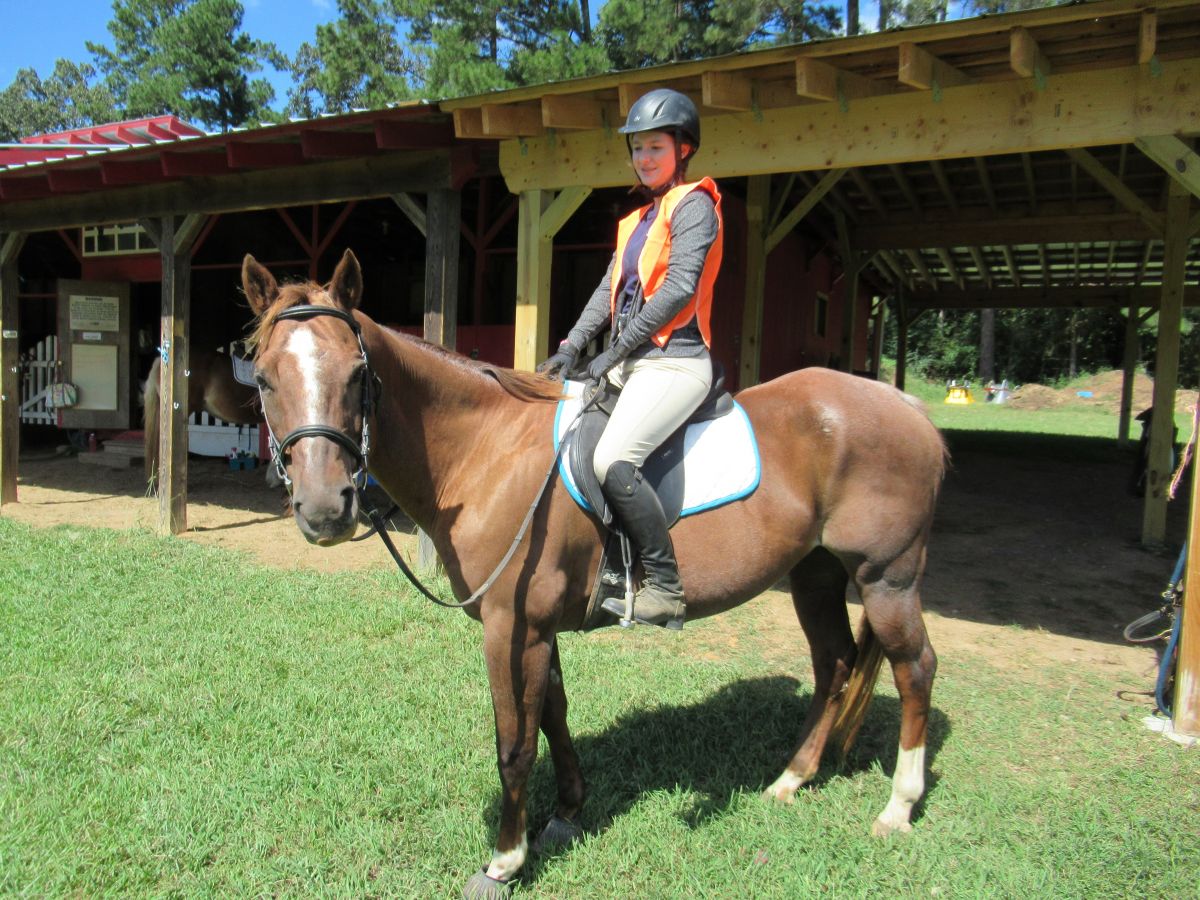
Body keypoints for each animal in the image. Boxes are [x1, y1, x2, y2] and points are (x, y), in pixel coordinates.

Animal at [243, 250, 950, 897]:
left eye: (359, 373)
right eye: (264, 380)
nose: (325, 509)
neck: (487, 451)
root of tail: (909, 408)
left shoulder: (511, 626)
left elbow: (515, 743)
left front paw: (505, 861)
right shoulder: (539, 627)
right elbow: (554, 715)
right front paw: (566, 815)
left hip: (886, 578)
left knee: (914, 668)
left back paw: (898, 807)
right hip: (816, 574)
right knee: (834, 664)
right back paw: (789, 780)